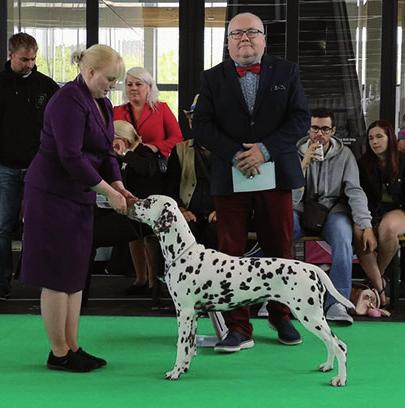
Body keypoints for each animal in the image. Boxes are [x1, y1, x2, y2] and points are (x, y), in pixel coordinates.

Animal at [128, 194, 356, 386]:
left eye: (148, 202)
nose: (130, 202)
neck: (184, 253)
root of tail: (311, 267)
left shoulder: (183, 313)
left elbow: (181, 346)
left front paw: (175, 372)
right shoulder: (193, 315)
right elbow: (190, 347)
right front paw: (184, 369)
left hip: (310, 317)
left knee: (340, 346)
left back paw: (340, 379)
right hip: (314, 318)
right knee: (331, 343)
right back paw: (327, 367)